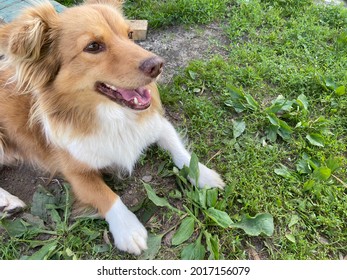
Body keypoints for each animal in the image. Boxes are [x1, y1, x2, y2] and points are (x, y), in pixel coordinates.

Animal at [0, 0, 226, 255]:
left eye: (130, 35)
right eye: (93, 46)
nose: (158, 65)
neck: (114, 115)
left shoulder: (156, 124)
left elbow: (179, 151)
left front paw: (203, 174)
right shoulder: (76, 171)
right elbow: (106, 195)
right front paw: (128, 229)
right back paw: (8, 201)